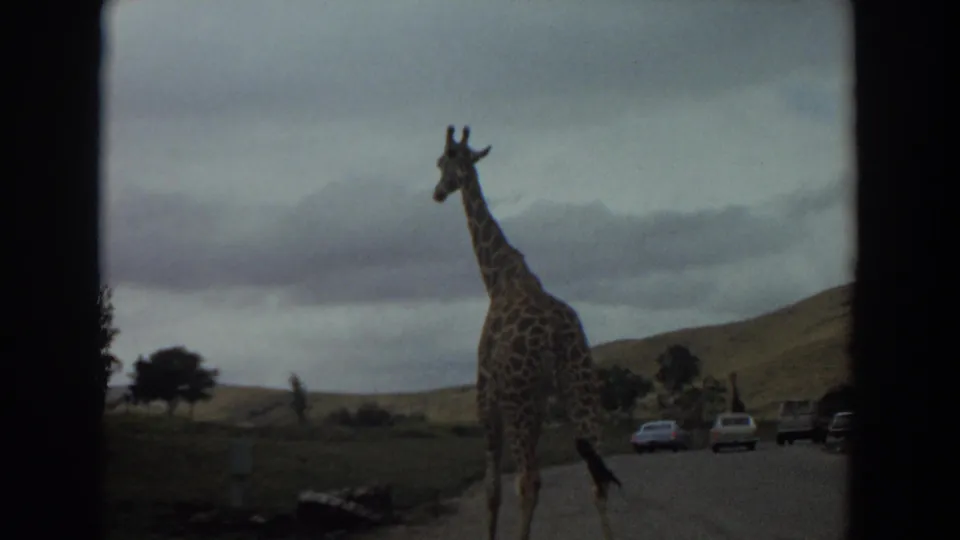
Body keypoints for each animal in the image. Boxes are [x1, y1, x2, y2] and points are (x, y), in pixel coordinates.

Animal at [432, 125, 621, 540]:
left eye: (441, 161)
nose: (436, 192)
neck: (499, 278)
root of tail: (555, 337)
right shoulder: (538, 402)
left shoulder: (487, 397)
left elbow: (493, 489)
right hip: (581, 387)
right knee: (597, 478)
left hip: (518, 400)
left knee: (527, 480)